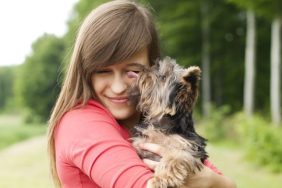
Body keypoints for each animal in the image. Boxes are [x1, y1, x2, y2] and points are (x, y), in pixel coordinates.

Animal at [129, 57, 207, 188]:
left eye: (163, 77)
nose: (144, 70)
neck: (161, 124)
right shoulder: (141, 144)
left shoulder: (186, 147)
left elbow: (173, 157)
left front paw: (160, 179)